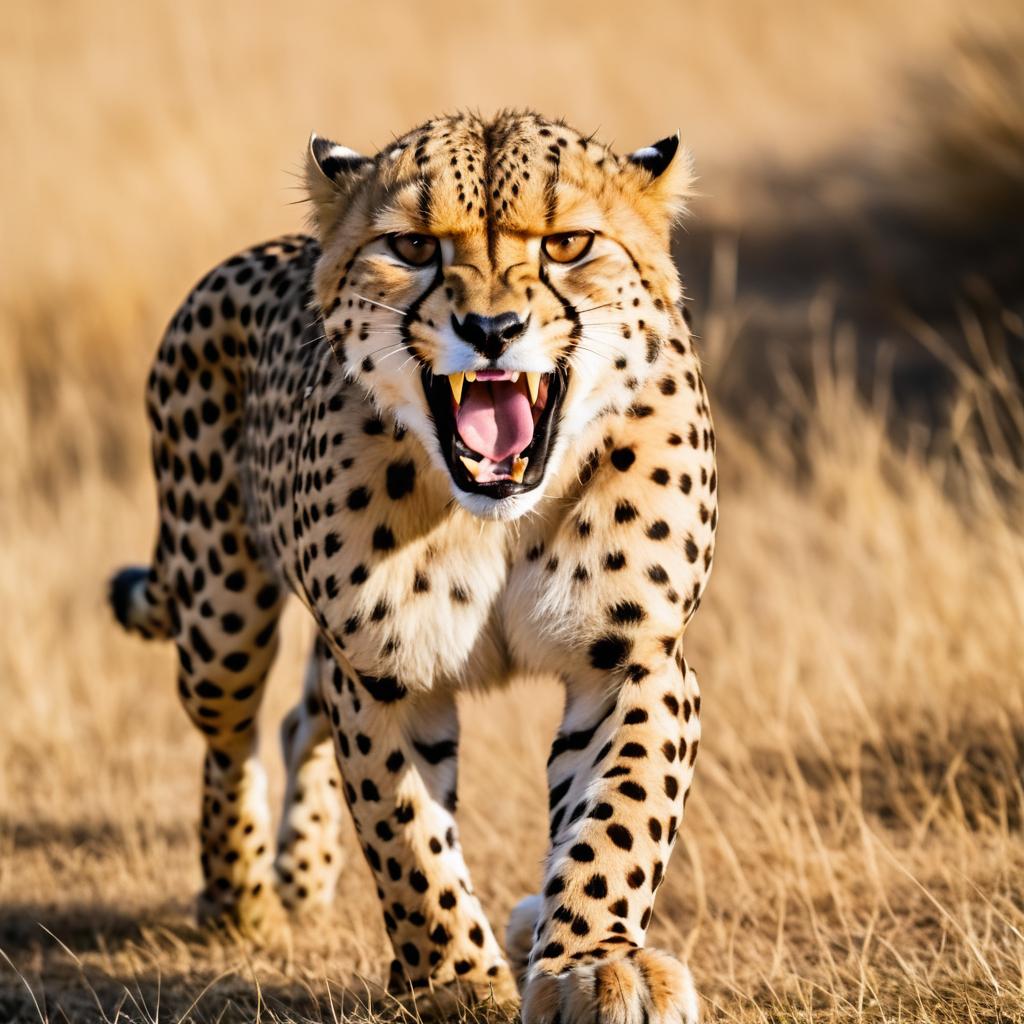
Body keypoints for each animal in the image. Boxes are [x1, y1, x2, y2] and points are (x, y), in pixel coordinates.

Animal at [112, 112, 716, 1024]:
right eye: (414, 246)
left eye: (568, 243)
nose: (493, 331)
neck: (498, 513)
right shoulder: (382, 673)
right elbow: (408, 837)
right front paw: (455, 980)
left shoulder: (635, 657)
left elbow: (619, 816)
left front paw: (594, 963)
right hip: (221, 619)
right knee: (231, 736)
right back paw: (241, 892)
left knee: (297, 721)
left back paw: (304, 870)